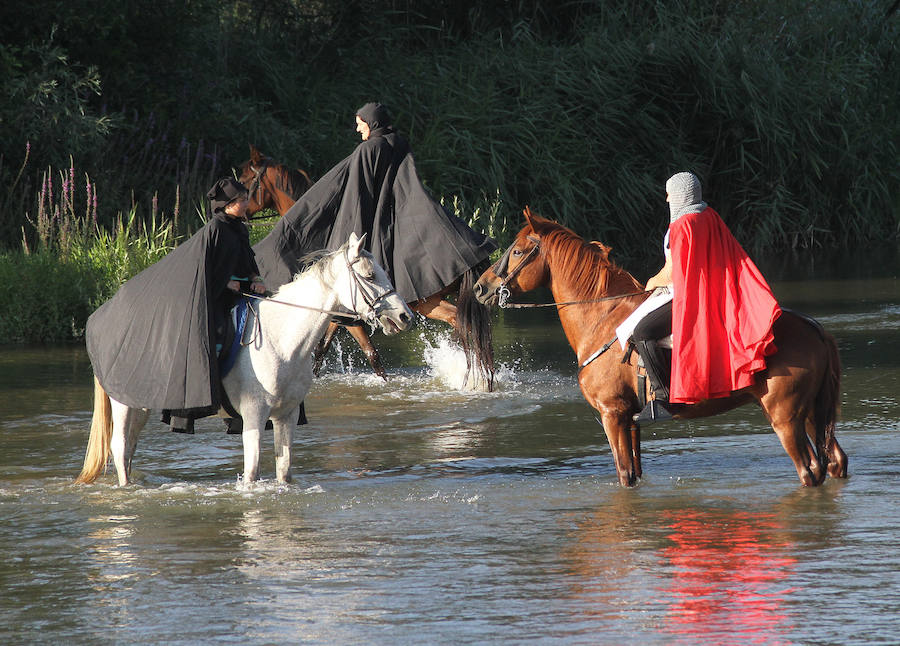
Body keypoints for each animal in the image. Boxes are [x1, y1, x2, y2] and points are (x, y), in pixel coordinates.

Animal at [77, 233, 414, 486]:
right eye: (370, 275)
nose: (405, 316)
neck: (282, 339)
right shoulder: (254, 414)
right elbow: (251, 473)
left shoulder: (286, 415)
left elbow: (284, 470)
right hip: (123, 403)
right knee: (119, 447)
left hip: (140, 403)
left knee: (129, 448)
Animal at [236, 146, 496, 390]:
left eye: (245, 180)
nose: (237, 213)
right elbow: (325, 351)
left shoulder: (348, 319)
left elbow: (369, 356)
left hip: (428, 302)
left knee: (459, 323)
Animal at [474, 210, 848, 488]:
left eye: (517, 251)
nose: (480, 287)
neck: (601, 319)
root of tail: (813, 328)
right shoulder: (630, 420)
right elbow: (635, 473)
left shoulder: (612, 414)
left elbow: (624, 475)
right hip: (811, 413)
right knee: (835, 462)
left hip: (785, 417)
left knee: (810, 471)